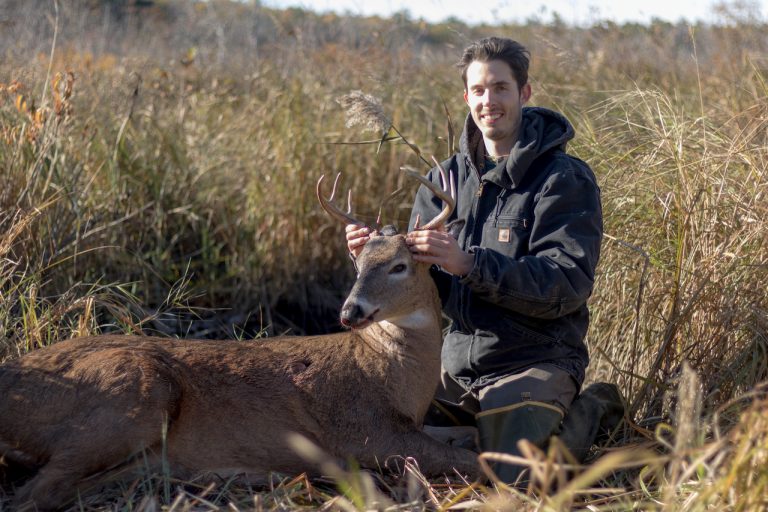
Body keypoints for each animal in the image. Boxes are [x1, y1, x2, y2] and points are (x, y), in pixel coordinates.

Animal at [0, 167, 479, 510]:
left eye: (400, 265)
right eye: (358, 263)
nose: (350, 312)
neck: (395, 377)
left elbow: (469, 435)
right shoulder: (367, 432)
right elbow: (475, 458)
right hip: (134, 393)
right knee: (35, 495)